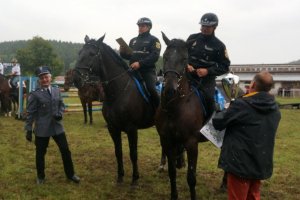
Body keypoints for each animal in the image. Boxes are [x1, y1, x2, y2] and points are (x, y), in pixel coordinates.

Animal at [75, 35, 156, 185]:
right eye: (79, 53)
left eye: (92, 54)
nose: (77, 78)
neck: (118, 92)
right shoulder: (113, 128)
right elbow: (118, 152)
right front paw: (120, 177)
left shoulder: (132, 129)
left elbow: (133, 153)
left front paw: (135, 179)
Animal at [156, 32, 207, 199]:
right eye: (165, 56)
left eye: (185, 59)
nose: (169, 90)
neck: (176, 107)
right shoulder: (167, 141)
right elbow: (172, 172)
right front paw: (174, 195)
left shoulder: (191, 143)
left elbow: (191, 178)